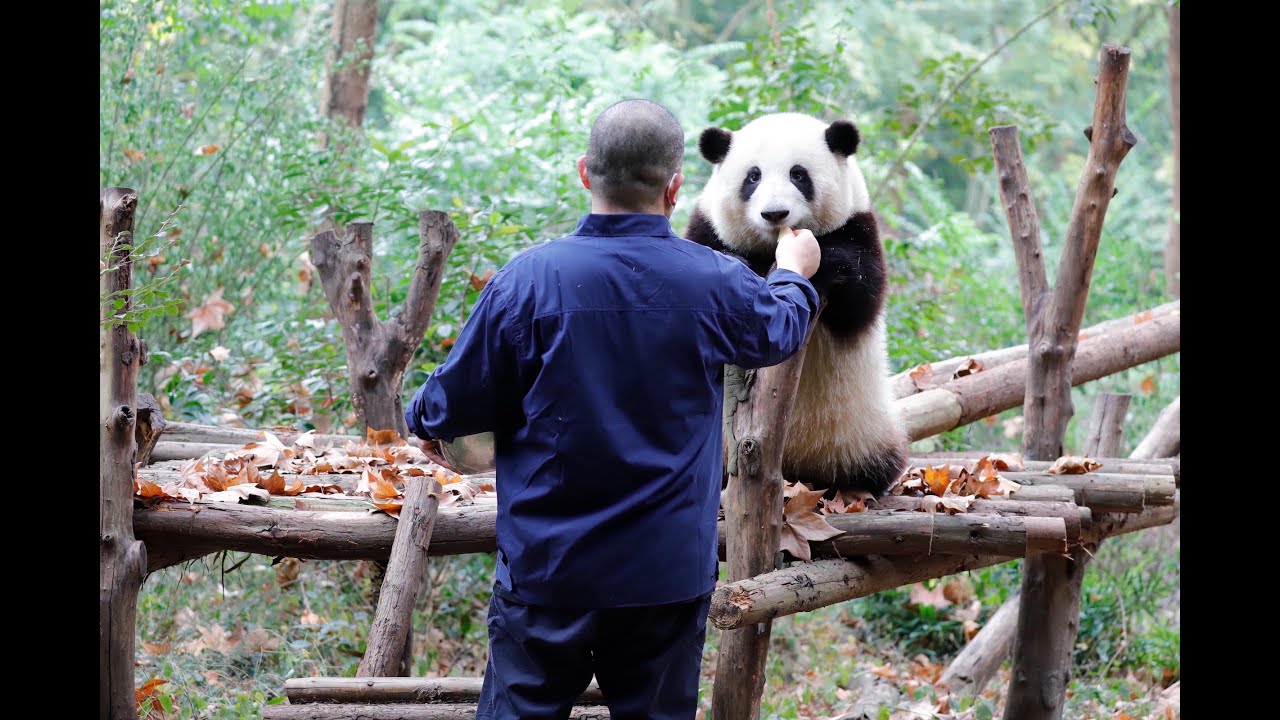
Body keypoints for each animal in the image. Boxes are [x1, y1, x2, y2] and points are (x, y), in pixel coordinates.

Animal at [684, 112, 908, 496]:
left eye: (798, 174)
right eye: (753, 176)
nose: (775, 213)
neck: (771, 249)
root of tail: (797, 470)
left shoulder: (858, 227)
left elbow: (860, 302)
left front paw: (821, 264)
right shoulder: (706, 229)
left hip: (864, 427)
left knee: (877, 459)